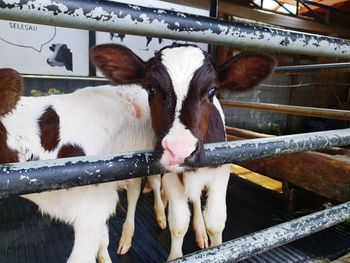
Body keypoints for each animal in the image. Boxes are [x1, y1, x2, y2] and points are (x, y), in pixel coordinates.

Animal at [90, 42, 276, 260]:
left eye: (212, 91)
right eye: (151, 89)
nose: (180, 151)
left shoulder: (221, 172)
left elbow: (215, 221)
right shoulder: (171, 175)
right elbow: (178, 224)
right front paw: (175, 253)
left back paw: (199, 230)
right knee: (141, 191)